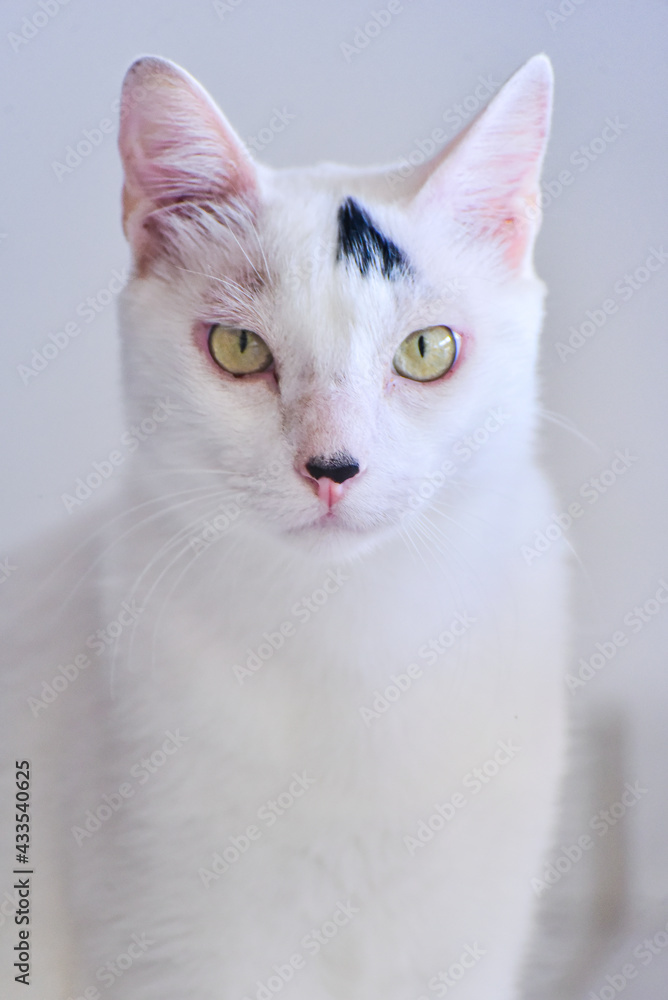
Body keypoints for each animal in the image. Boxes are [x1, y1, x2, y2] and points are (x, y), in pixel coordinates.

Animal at [2, 52, 572, 1000]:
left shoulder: (464, 949)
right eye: (239, 349)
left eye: (427, 350)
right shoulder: (182, 954)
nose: (332, 466)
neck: (349, 639)